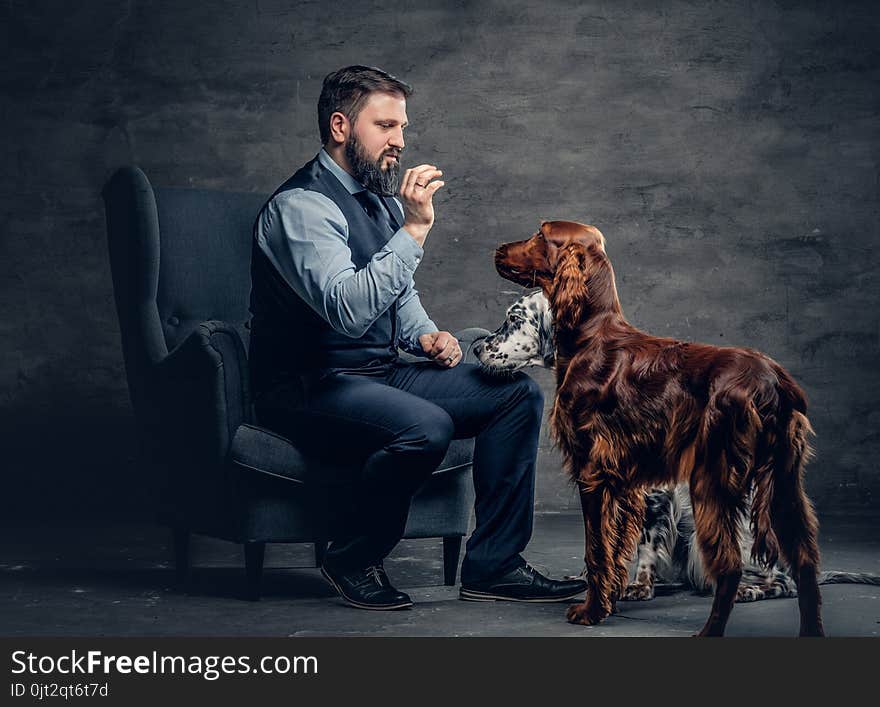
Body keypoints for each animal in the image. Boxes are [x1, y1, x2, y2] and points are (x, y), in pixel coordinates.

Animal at [496, 221, 824, 636]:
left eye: (540, 235)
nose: (498, 249)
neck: (591, 337)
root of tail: (774, 381)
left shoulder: (593, 472)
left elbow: (595, 550)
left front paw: (590, 612)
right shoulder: (625, 483)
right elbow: (617, 549)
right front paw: (610, 600)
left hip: (712, 480)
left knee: (731, 566)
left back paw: (710, 631)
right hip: (783, 481)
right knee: (805, 560)